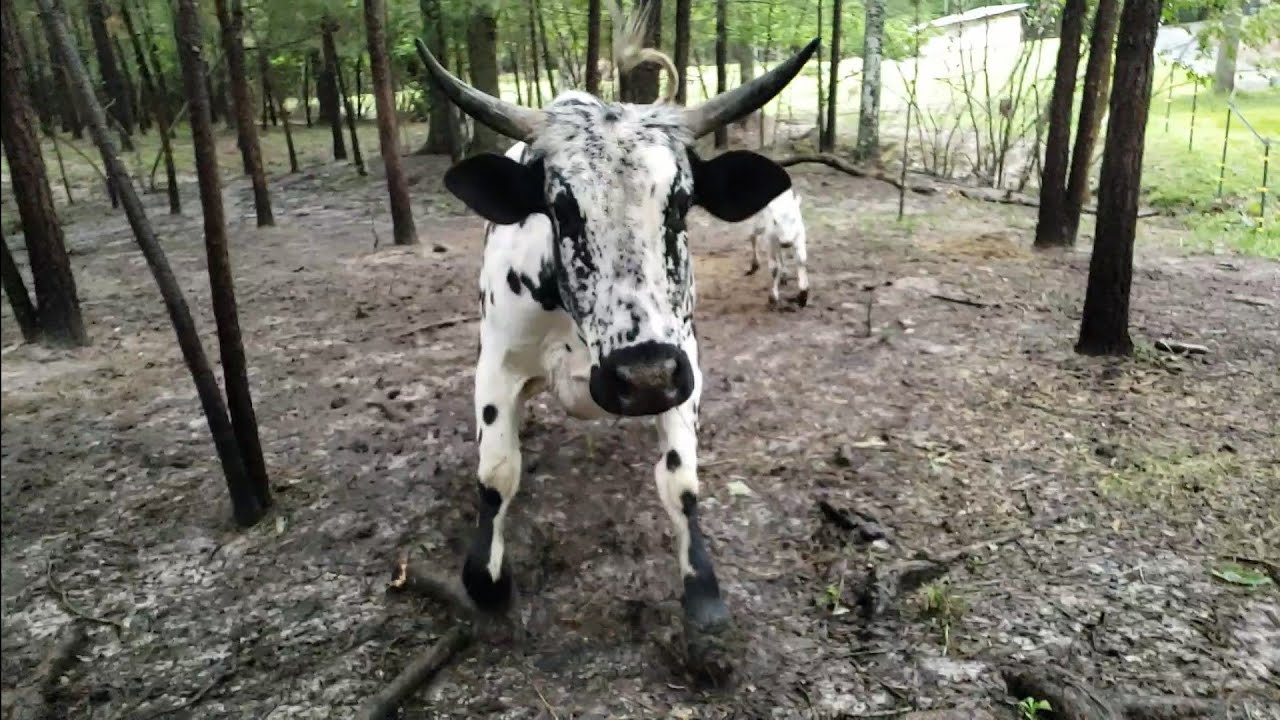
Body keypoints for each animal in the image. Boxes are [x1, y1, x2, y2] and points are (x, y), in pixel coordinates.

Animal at [413, 15, 818, 669]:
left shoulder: (685, 363)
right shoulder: (495, 365)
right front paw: (488, 580)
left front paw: (703, 596)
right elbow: (497, 473)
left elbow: (681, 482)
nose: (643, 378)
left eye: (681, 202)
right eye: (560, 206)